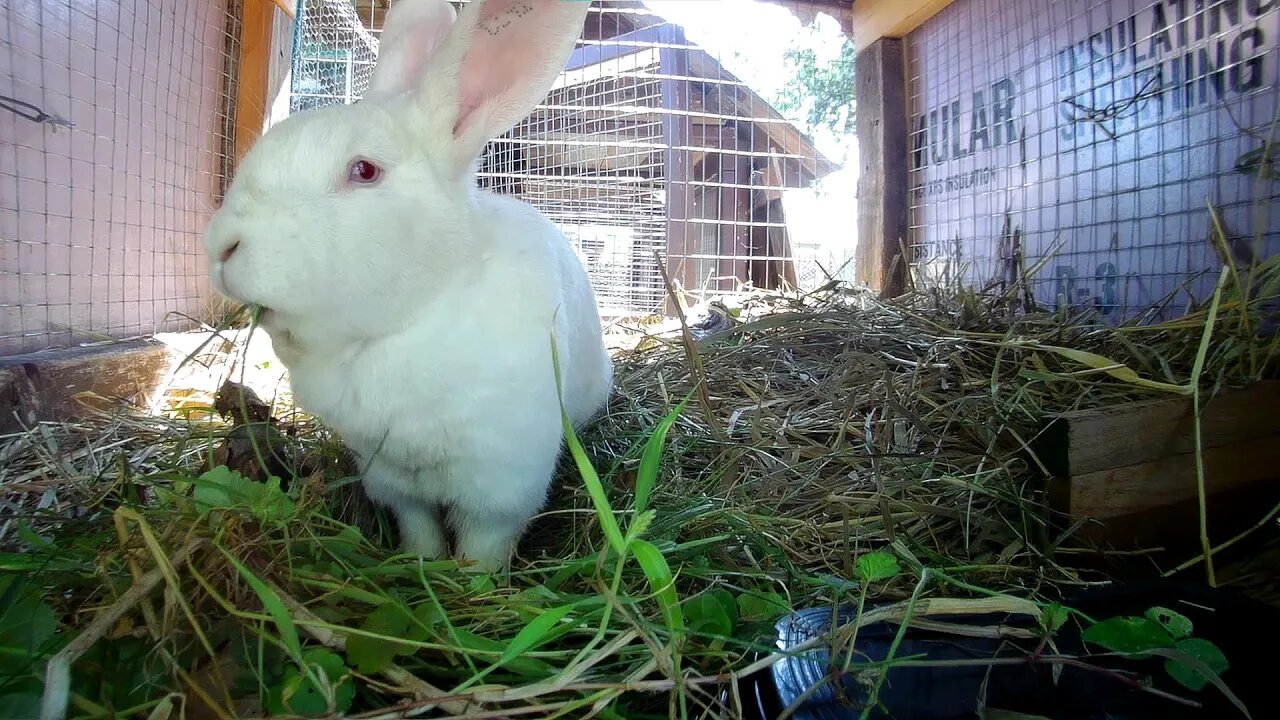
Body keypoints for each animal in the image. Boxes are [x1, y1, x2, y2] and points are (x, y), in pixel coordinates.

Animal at [202, 1, 611, 571]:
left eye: (364, 171)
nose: (221, 246)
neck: (407, 324)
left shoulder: (501, 486)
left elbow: (483, 548)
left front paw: (474, 583)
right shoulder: (390, 478)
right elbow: (419, 529)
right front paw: (421, 563)